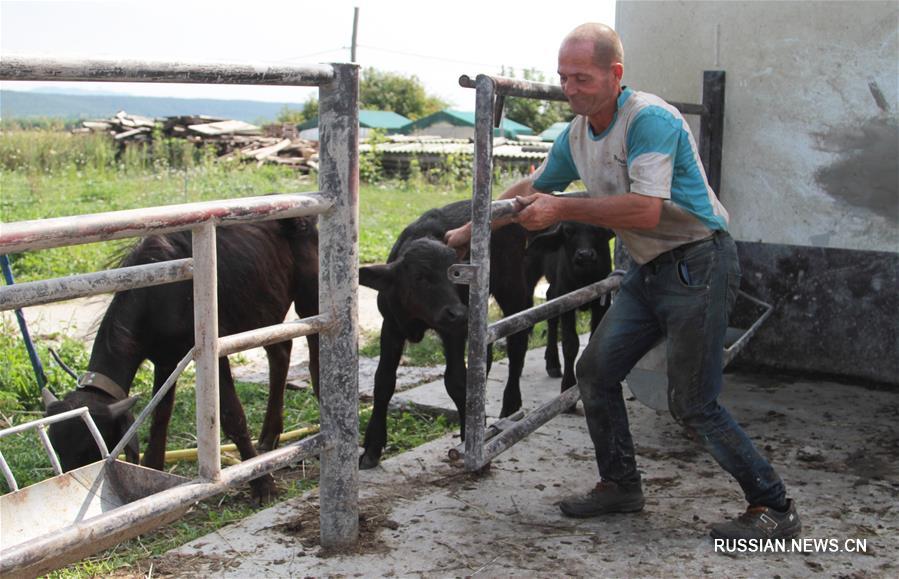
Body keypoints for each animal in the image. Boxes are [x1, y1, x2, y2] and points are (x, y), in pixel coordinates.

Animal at [360, 199, 536, 472]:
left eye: (456, 274)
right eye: (420, 277)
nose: (458, 313)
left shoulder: (453, 331)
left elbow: (455, 380)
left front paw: (470, 442)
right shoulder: (390, 326)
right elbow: (383, 381)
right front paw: (372, 447)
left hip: (512, 287)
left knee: (517, 341)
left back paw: (510, 405)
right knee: (485, 353)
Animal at [524, 222, 616, 394]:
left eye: (599, 228)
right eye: (568, 230)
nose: (585, 255)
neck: (584, 278)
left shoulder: (602, 301)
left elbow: (593, 339)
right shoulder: (566, 298)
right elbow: (570, 344)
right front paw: (567, 385)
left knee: (549, 298)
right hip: (531, 267)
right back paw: (552, 363)